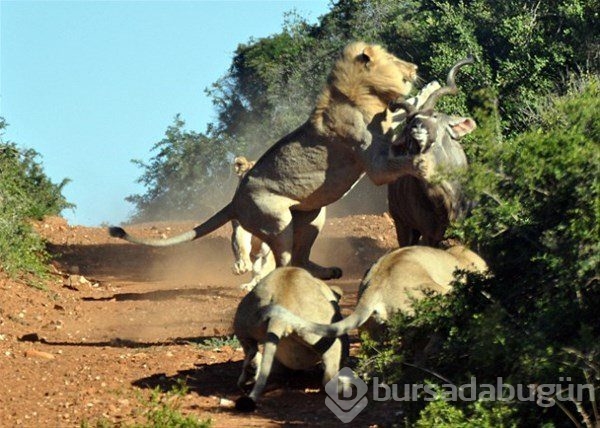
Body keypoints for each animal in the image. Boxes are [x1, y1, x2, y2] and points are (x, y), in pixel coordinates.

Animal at [109, 41, 426, 280]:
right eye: (394, 60)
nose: (415, 68)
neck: (360, 93)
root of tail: (235, 200)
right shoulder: (374, 163)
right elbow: (392, 164)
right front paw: (420, 162)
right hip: (276, 219)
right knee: (283, 262)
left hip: (313, 214)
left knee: (300, 256)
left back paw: (324, 272)